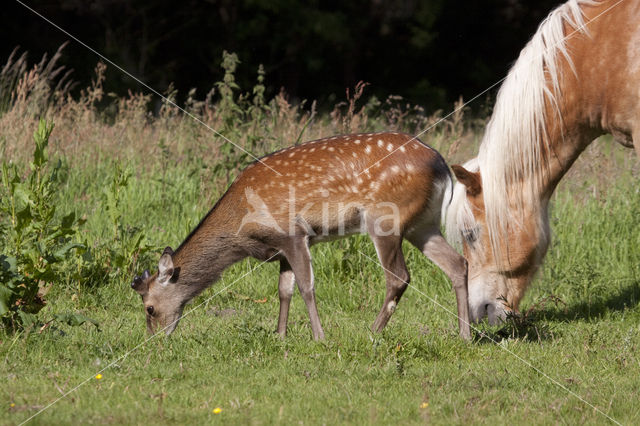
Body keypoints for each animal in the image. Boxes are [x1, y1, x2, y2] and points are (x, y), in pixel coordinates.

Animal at [131, 132, 470, 340]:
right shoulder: (281, 248)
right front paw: (279, 335)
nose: (153, 340)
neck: (242, 225)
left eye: (149, 308)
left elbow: (307, 286)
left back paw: (372, 332)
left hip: (385, 218)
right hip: (422, 224)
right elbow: (284, 290)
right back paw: (464, 334)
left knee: (399, 276)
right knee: (458, 263)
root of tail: (442, 165)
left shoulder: (293, 233)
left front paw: (319, 337)